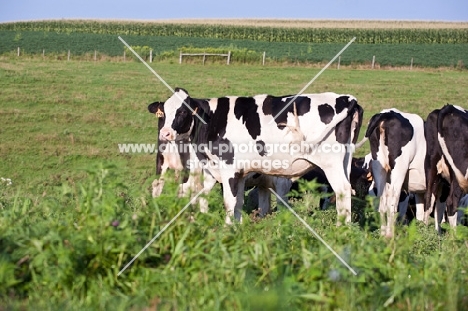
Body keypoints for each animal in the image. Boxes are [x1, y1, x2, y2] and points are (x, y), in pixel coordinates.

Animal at [156, 88, 362, 227]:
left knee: (342, 190)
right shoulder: (231, 171)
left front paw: (227, 228)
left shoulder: (228, 167)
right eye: (163, 112)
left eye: (183, 111)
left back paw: (340, 228)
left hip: (331, 163)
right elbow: (236, 201)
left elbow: (228, 201)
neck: (213, 120)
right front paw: (237, 226)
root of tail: (347, 98)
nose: (164, 133)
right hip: (345, 160)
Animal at [364, 108, 426, 238]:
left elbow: (421, 212)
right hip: (399, 168)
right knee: (393, 199)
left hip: (380, 167)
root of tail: (387, 113)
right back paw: (390, 235)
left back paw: (383, 233)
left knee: (382, 200)